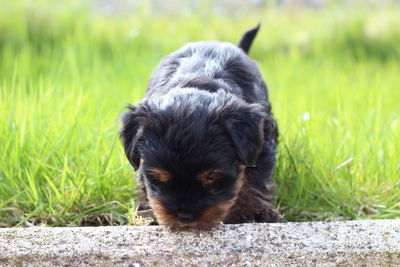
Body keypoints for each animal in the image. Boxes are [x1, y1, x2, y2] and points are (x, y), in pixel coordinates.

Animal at [120, 24, 280, 230]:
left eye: (212, 178)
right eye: (159, 179)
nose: (185, 216)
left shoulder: (260, 146)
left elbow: (254, 181)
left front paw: (253, 213)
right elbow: (144, 185)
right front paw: (149, 214)